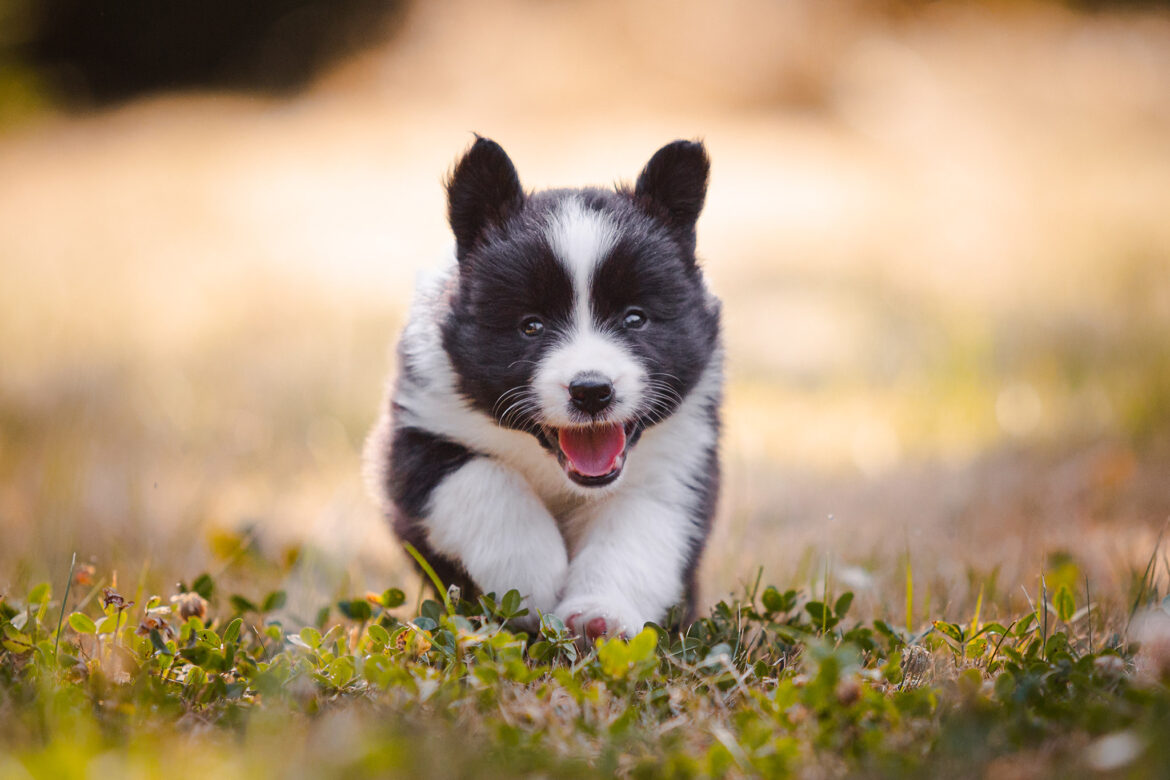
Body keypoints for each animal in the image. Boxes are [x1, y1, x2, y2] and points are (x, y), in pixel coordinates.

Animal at [365, 138, 720, 640]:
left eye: (635, 318)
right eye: (530, 326)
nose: (591, 391)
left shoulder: (676, 463)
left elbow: (634, 532)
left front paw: (601, 614)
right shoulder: (417, 435)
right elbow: (488, 480)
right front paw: (530, 580)